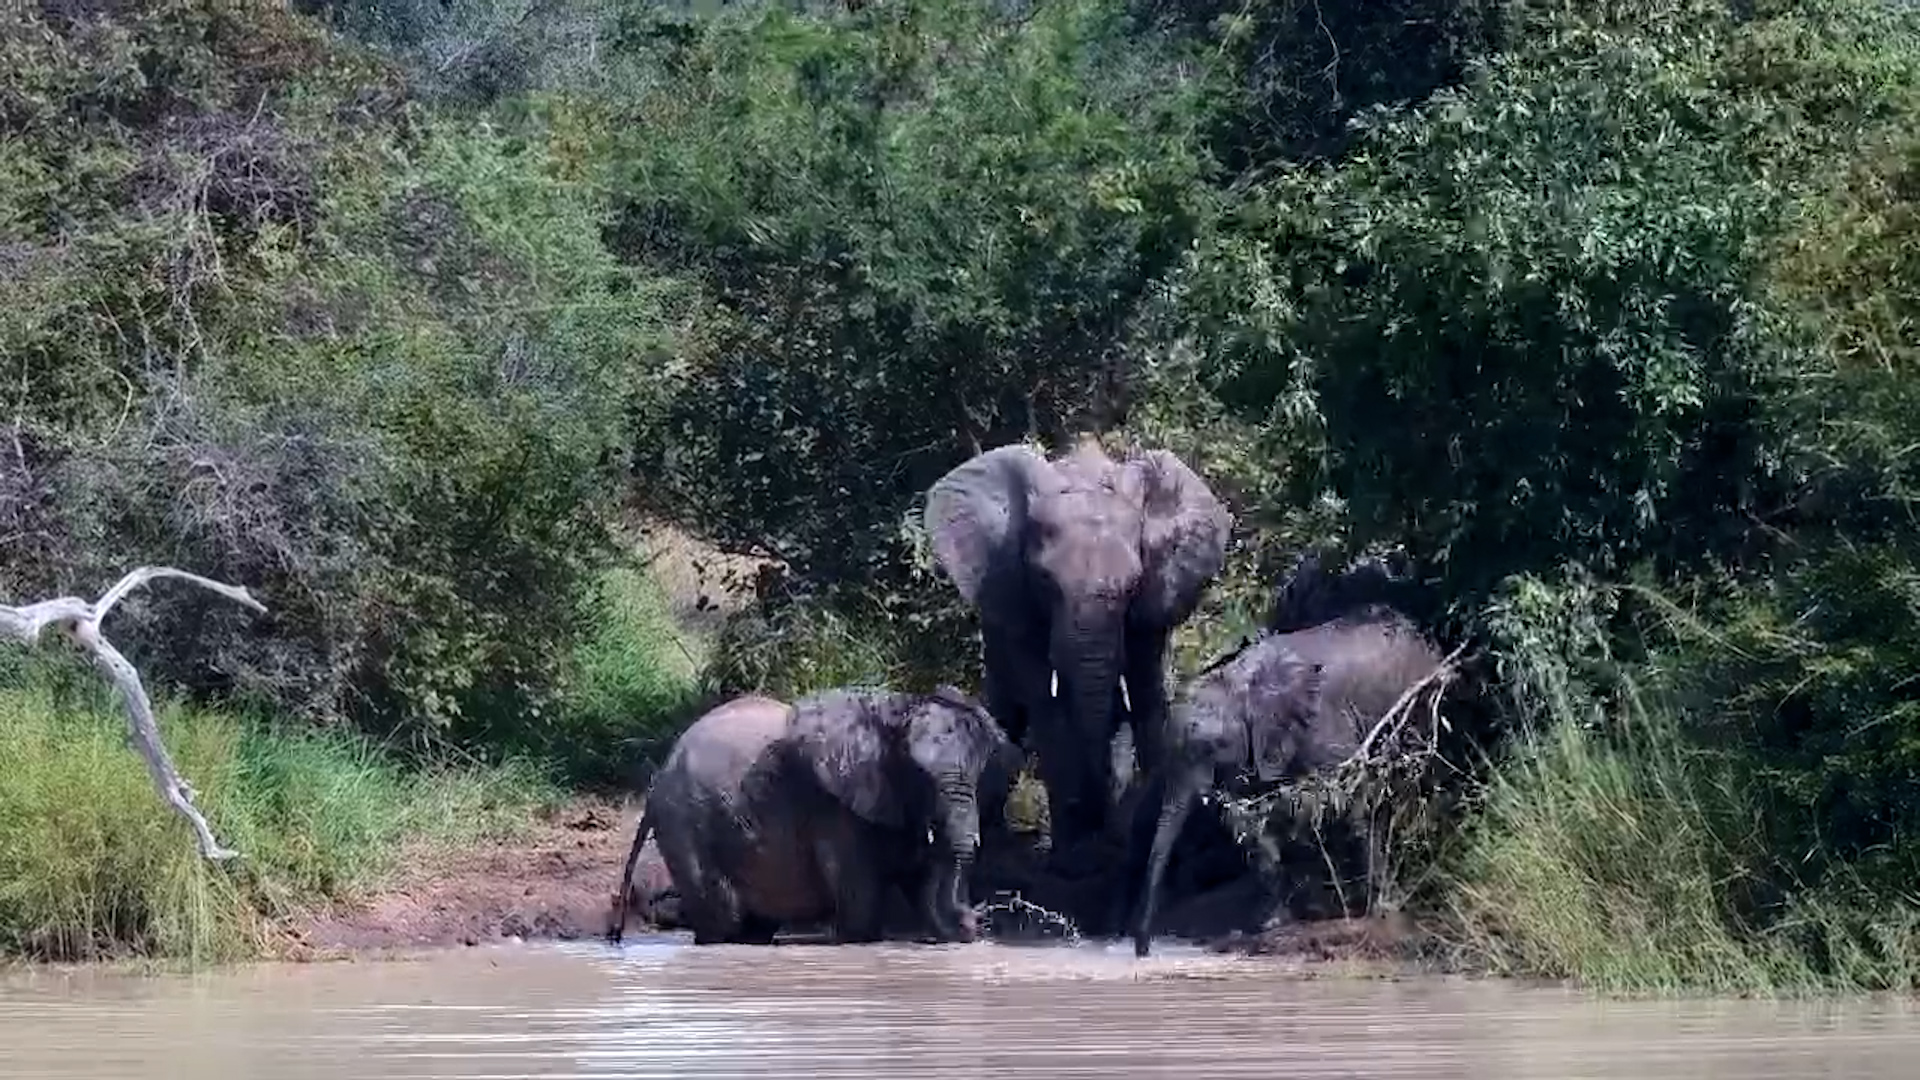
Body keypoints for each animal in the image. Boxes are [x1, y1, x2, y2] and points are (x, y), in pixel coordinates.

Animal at [609, 685, 1019, 946]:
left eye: (981, 771)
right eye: (919, 773)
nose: (977, 919)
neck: (894, 715)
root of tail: (657, 778)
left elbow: (923, 885)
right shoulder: (833, 805)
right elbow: (861, 901)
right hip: (684, 821)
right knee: (723, 919)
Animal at [923, 437, 1232, 866]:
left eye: (1132, 584)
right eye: (1044, 581)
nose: (1101, 830)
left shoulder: (1156, 596)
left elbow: (1146, 692)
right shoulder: (1016, 597)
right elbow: (1045, 703)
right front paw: (1072, 858)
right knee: (1007, 711)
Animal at [1127, 610, 1445, 957]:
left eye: (1214, 747)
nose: (1143, 950)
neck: (1242, 686)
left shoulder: (1324, 727)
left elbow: (1348, 803)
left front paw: (1375, 908)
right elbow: (1253, 827)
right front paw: (1273, 922)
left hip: (1419, 710)